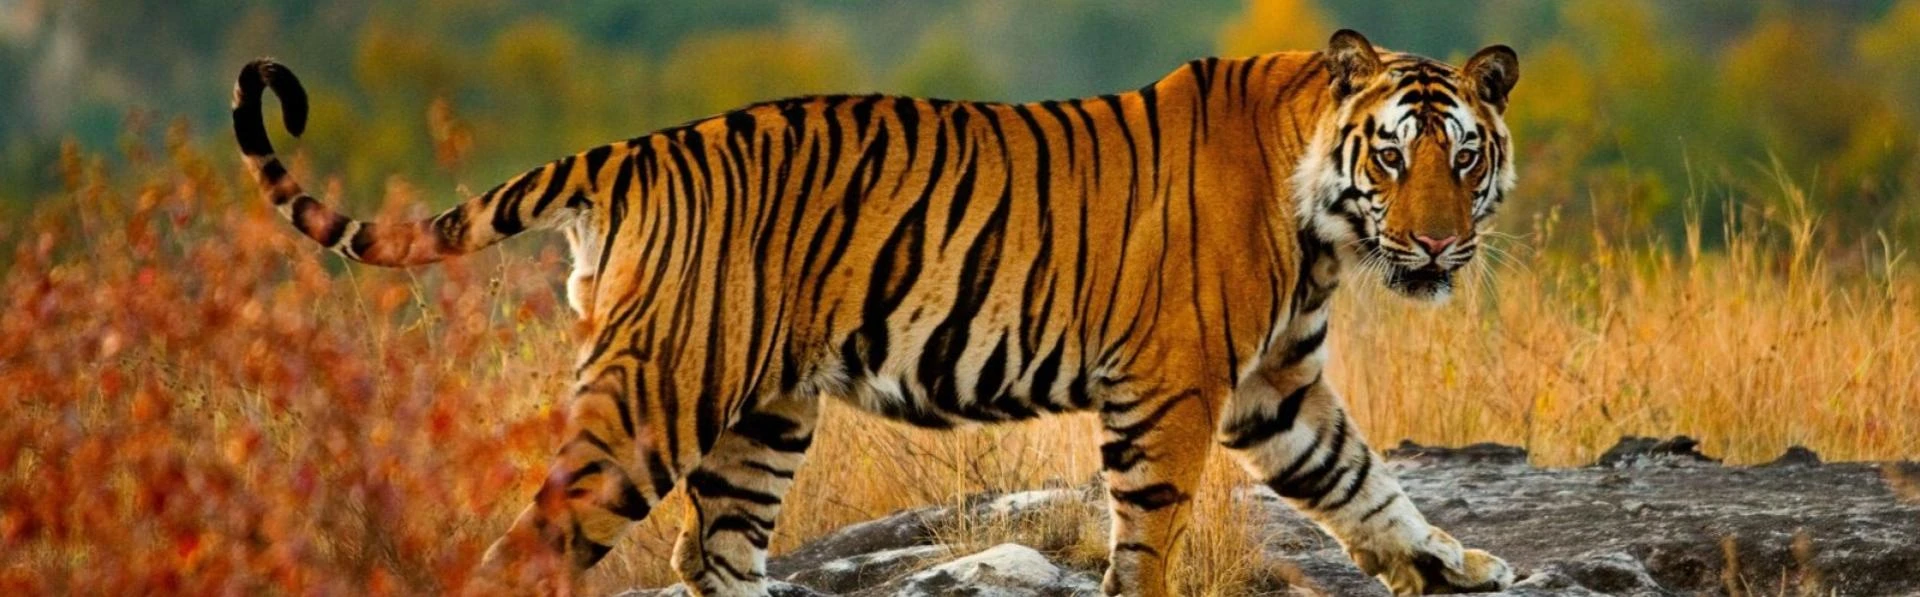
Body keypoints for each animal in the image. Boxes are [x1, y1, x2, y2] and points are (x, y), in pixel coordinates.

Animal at [231, 29, 1520, 596]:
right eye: (1394, 156)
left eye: (1463, 157)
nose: (1439, 241)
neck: (1323, 230)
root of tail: (631, 151)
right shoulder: (1174, 385)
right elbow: (1151, 533)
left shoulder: (1274, 387)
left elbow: (1366, 483)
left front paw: (1457, 562)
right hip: (655, 397)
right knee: (536, 546)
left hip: (761, 416)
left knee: (714, 555)